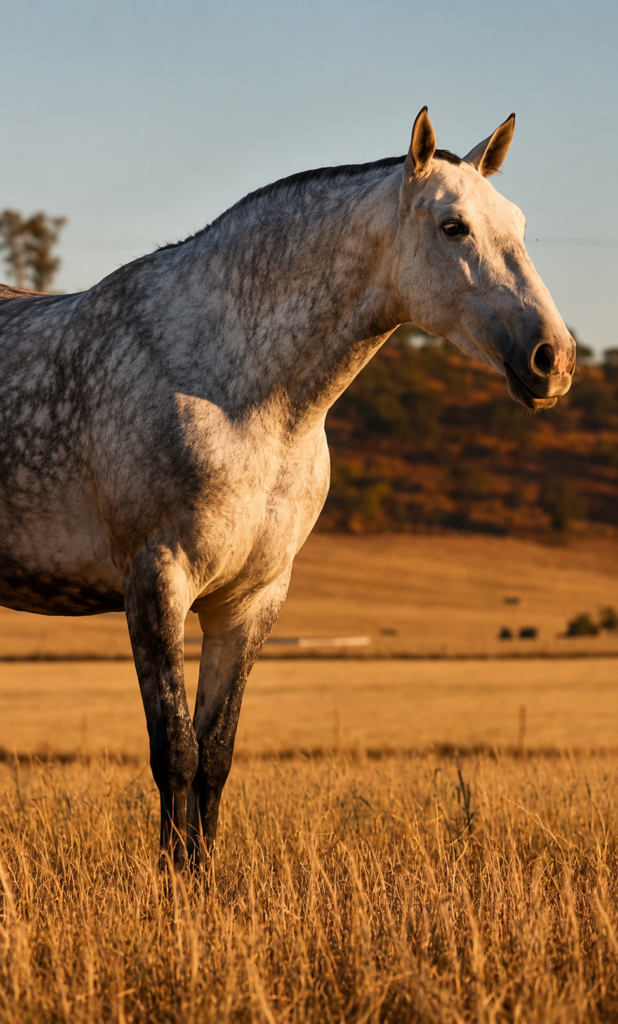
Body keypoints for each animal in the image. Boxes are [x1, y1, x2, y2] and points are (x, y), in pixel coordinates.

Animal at [0, 108, 575, 867]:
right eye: (454, 227)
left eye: (520, 223)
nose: (553, 360)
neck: (240, 394)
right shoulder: (156, 582)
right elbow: (174, 753)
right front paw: (168, 882)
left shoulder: (250, 600)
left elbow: (215, 756)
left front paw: (202, 878)